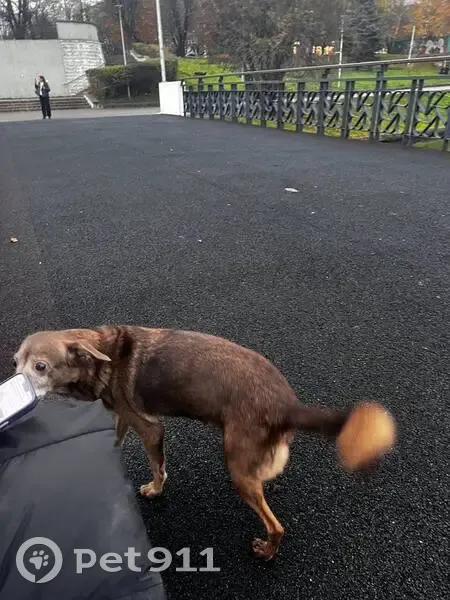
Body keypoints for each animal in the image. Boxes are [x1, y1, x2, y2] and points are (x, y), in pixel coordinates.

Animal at [14, 325, 396, 559]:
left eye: (41, 366)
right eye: (15, 362)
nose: (15, 387)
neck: (103, 353)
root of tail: (287, 405)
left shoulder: (151, 429)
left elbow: (157, 467)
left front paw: (155, 490)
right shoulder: (124, 415)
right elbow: (116, 439)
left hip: (237, 467)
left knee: (276, 525)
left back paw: (268, 550)